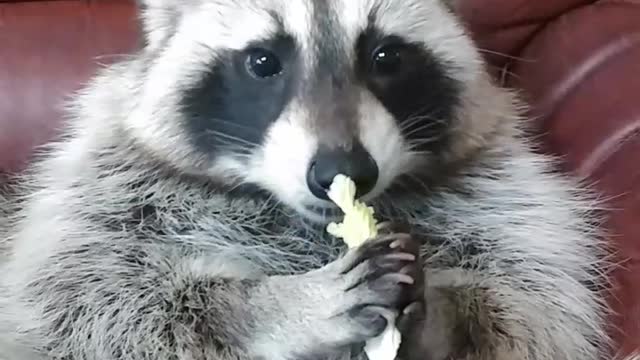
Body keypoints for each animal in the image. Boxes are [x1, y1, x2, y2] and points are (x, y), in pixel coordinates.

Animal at [0, 0, 608, 360]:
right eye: (263, 62)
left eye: (386, 57)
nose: (345, 173)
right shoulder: (98, 197)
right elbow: (106, 307)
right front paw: (277, 307)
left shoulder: (510, 193)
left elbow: (527, 306)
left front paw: (441, 317)